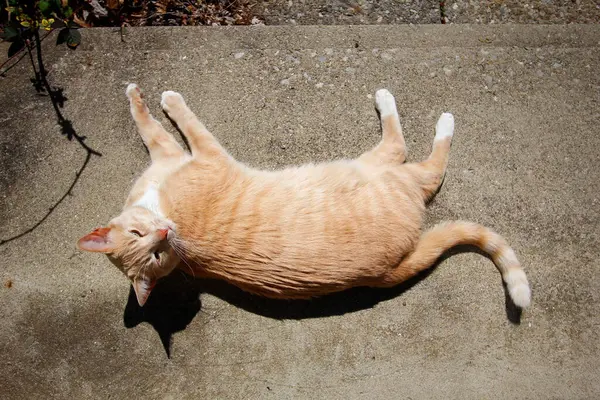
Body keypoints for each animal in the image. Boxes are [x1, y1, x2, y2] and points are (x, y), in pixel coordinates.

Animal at [76, 84, 528, 310]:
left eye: (147, 242)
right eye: (155, 254)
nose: (166, 234)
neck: (164, 207)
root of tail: (389, 270)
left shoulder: (174, 153)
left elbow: (151, 123)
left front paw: (141, 98)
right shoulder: (202, 153)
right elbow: (178, 120)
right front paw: (166, 100)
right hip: (381, 167)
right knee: (417, 157)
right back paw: (417, 112)